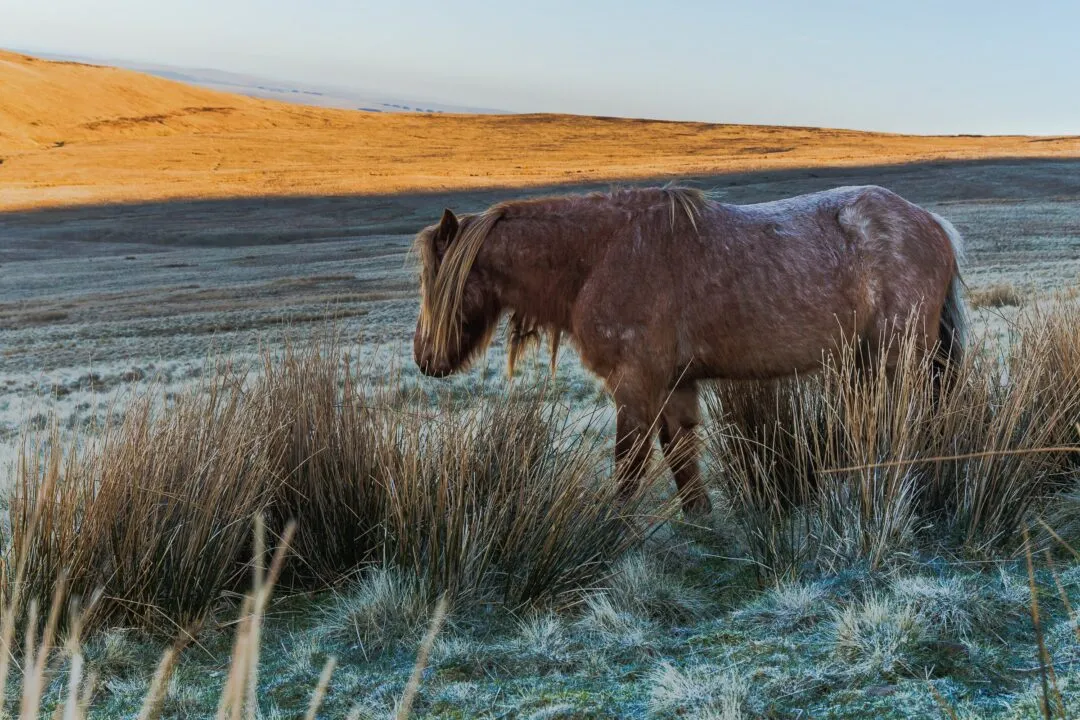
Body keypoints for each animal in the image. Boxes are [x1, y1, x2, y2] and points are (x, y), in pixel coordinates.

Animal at [411, 185, 966, 516]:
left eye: (435, 281)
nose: (424, 357)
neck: (599, 255)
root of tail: (933, 223)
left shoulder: (635, 387)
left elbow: (628, 467)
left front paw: (613, 538)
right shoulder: (675, 386)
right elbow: (681, 461)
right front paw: (705, 529)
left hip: (899, 357)